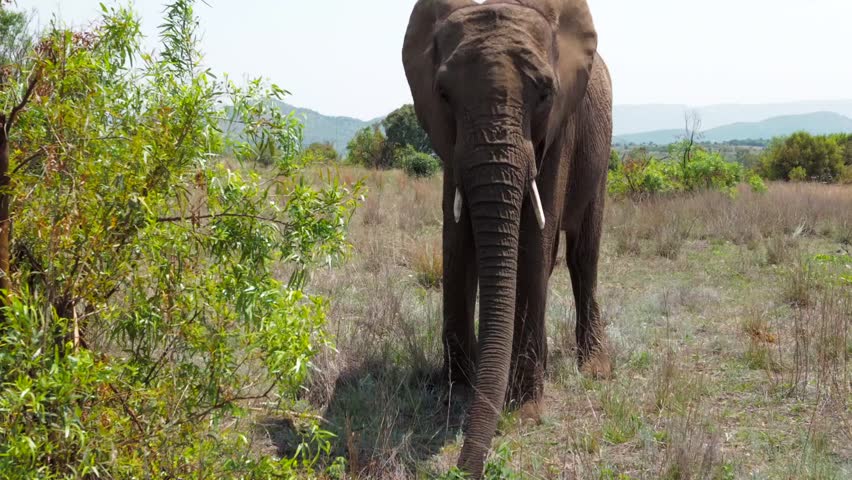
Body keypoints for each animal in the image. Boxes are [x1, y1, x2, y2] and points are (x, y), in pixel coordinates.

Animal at [402, 0, 613, 476]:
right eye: (443, 94)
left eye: (545, 93)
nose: (463, 469)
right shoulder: (449, 143)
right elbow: (457, 243)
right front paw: (457, 394)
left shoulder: (560, 127)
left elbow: (535, 243)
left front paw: (526, 410)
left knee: (582, 255)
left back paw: (594, 368)